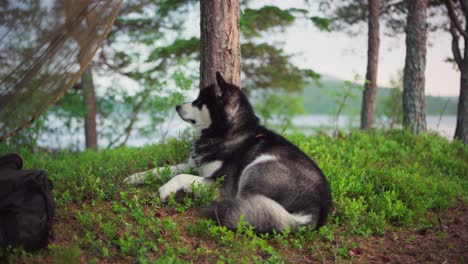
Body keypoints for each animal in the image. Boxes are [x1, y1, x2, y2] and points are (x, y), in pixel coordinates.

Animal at [122, 71, 330, 232]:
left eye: (199, 102)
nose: (177, 106)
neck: (227, 133)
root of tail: (315, 211)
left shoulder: (221, 185)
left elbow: (181, 176)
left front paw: (165, 189)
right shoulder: (193, 163)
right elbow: (161, 169)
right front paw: (135, 177)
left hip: (260, 163)